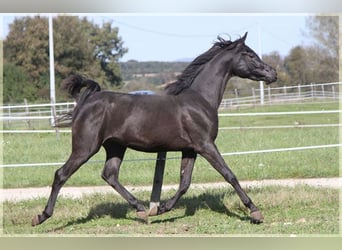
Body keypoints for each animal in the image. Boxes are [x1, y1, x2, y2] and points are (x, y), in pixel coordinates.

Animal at [31, 32, 278, 226]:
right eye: (250, 55)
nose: (272, 73)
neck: (200, 100)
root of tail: (87, 101)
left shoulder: (190, 149)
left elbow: (184, 183)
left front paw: (159, 209)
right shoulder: (206, 145)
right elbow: (229, 175)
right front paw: (255, 212)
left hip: (115, 147)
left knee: (109, 175)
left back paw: (141, 209)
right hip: (85, 147)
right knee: (61, 174)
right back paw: (41, 217)